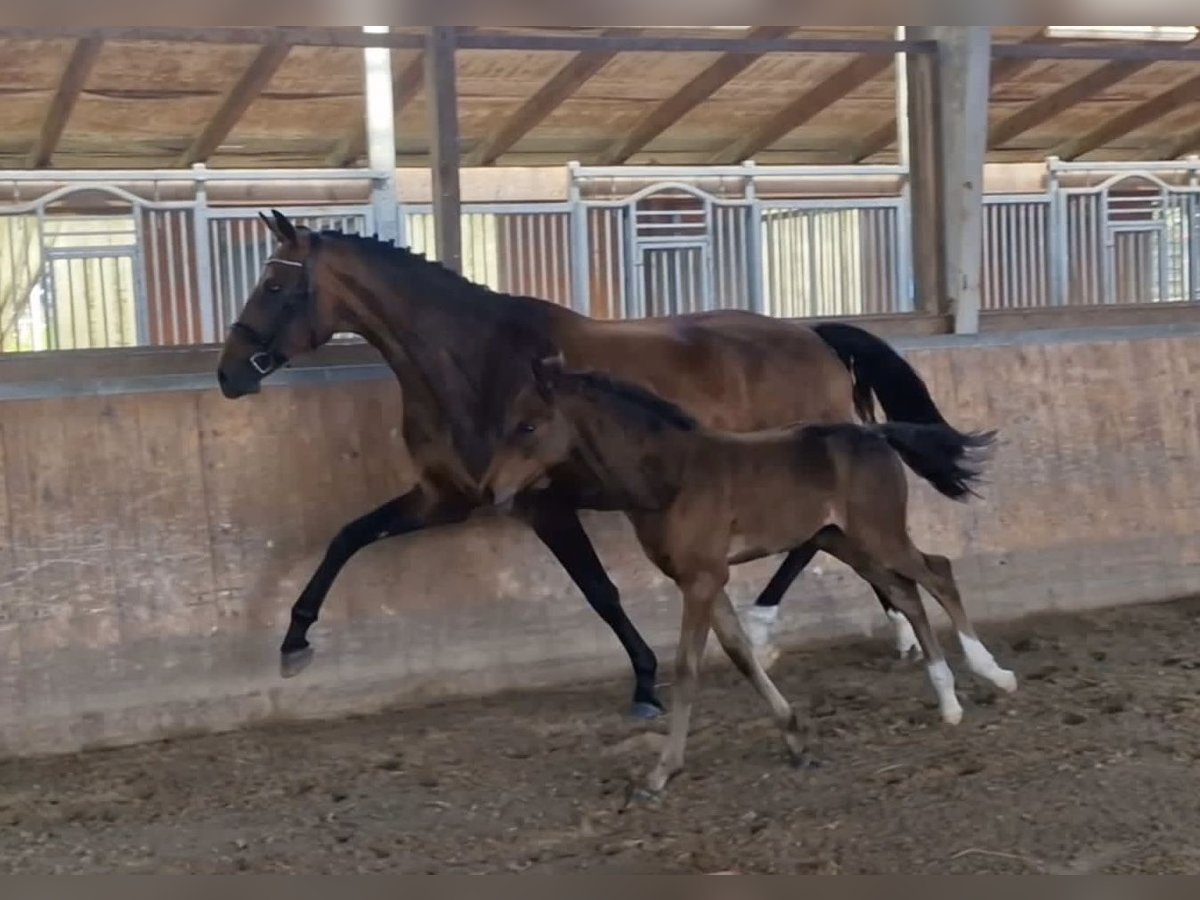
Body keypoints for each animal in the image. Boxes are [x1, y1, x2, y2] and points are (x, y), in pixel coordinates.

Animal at [482, 360, 1017, 796]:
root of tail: (875, 434)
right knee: (907, 593)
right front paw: (797, 740)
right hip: (844, 542)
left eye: (528, 425)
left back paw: (994, 674)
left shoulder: (700, 579)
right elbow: (740, 653)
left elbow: (688, 669)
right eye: (507, 422)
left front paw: (660, 774)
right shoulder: (703, 579)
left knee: (938, 572)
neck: (672, 476)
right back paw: (947, 701)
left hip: (879, 534)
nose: (490, 490)